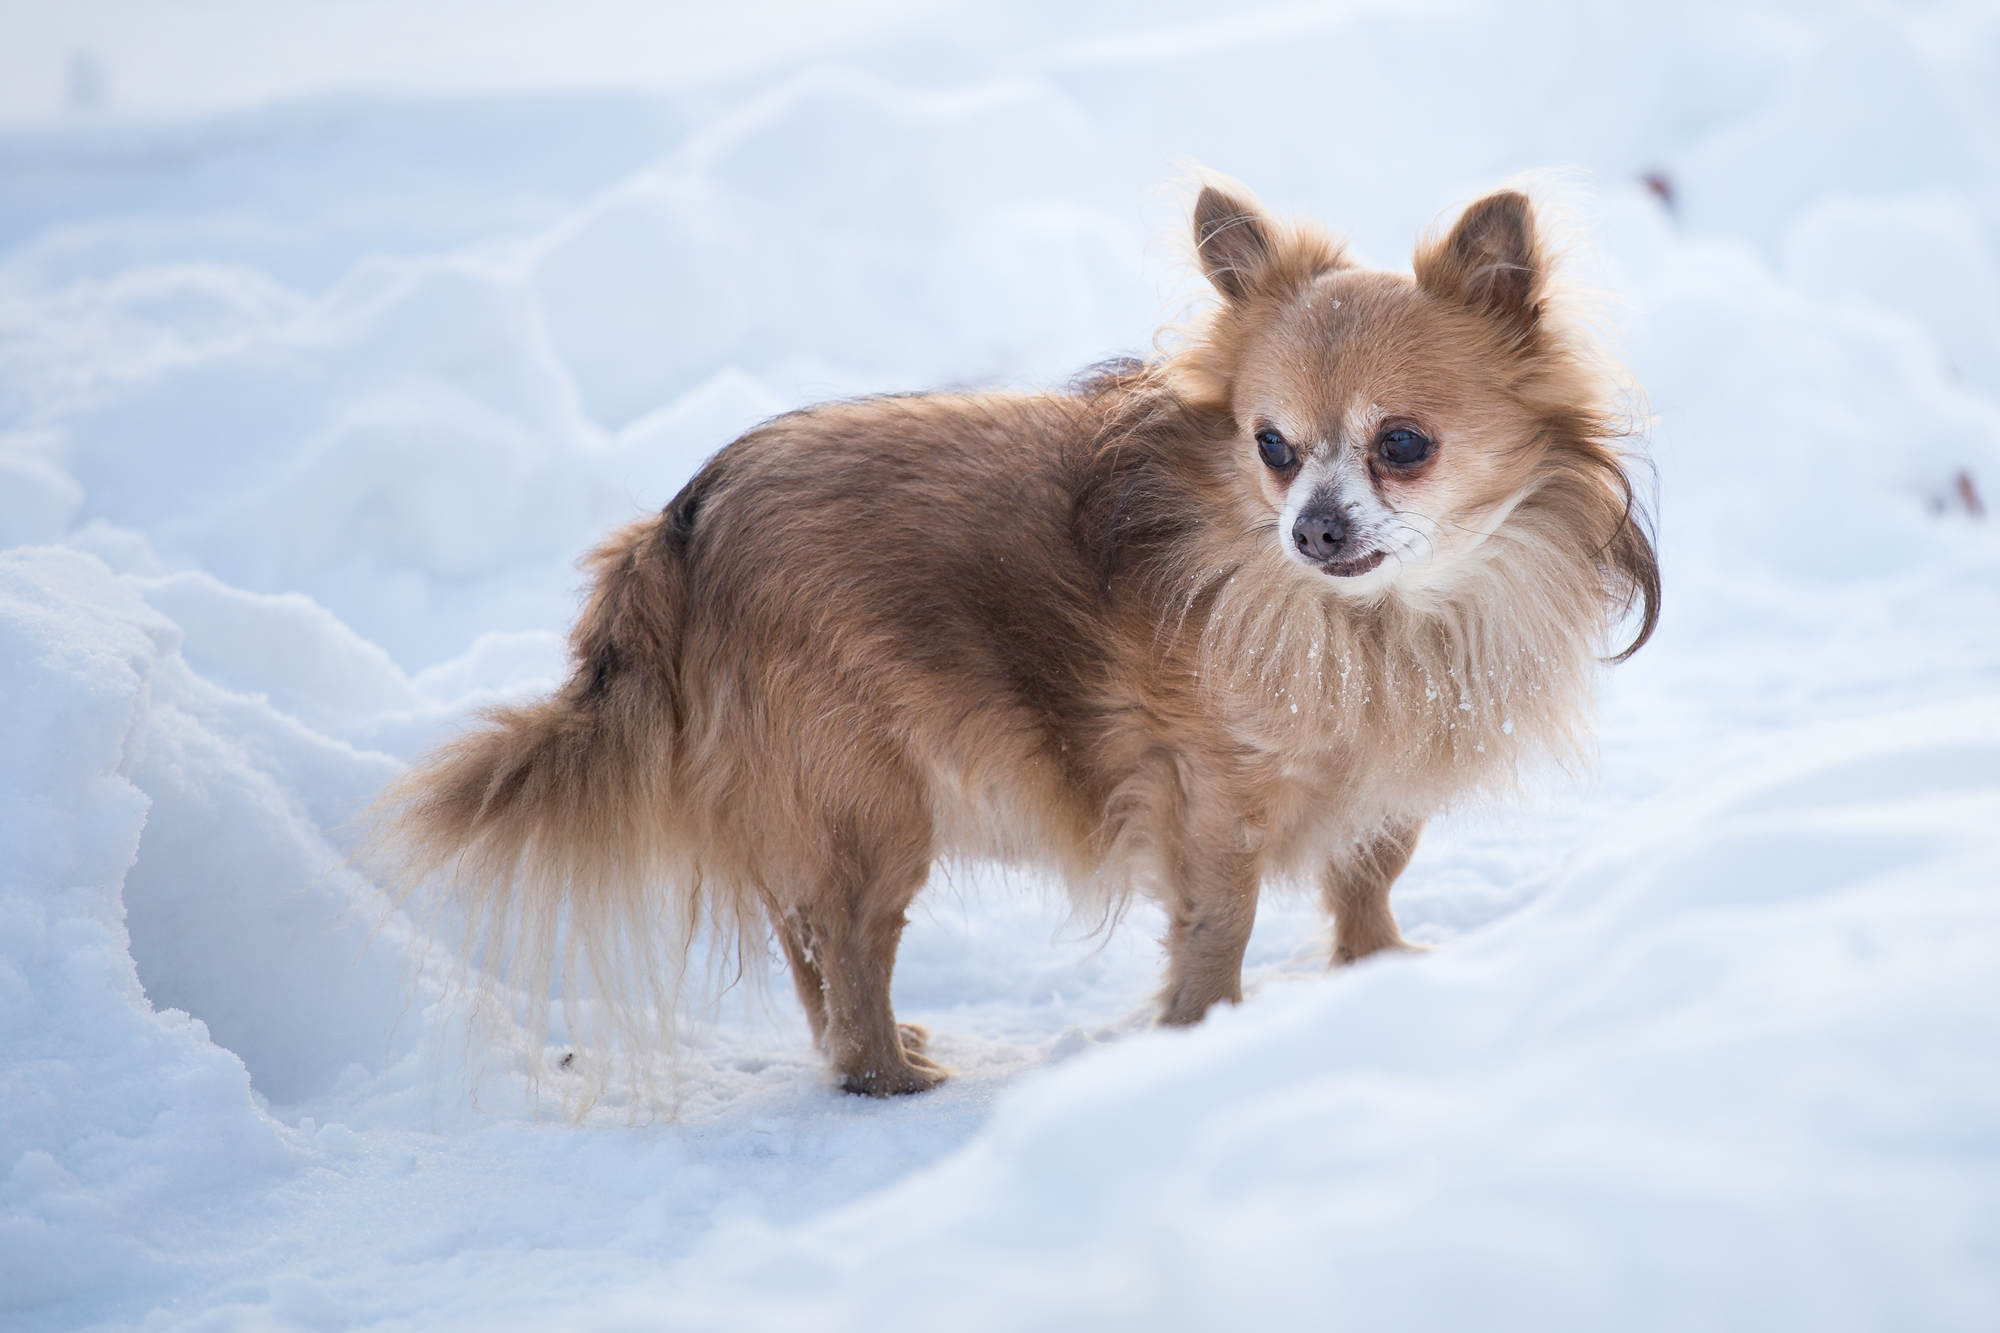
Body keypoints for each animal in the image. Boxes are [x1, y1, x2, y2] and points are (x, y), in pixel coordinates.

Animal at [376, 182, 1656, 1104]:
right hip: (870, 801)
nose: (1311, 527)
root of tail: (682, 520)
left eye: (1401, 444)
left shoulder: (1383, 776)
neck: (1379, 623)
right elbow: (1219, 923)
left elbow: (1366, 875)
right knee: (846, 937)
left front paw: (1377, 972)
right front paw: (1205, 1034)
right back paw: (884, 1073)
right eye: (1272, 448)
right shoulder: (1208, 797)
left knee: (803, 939)